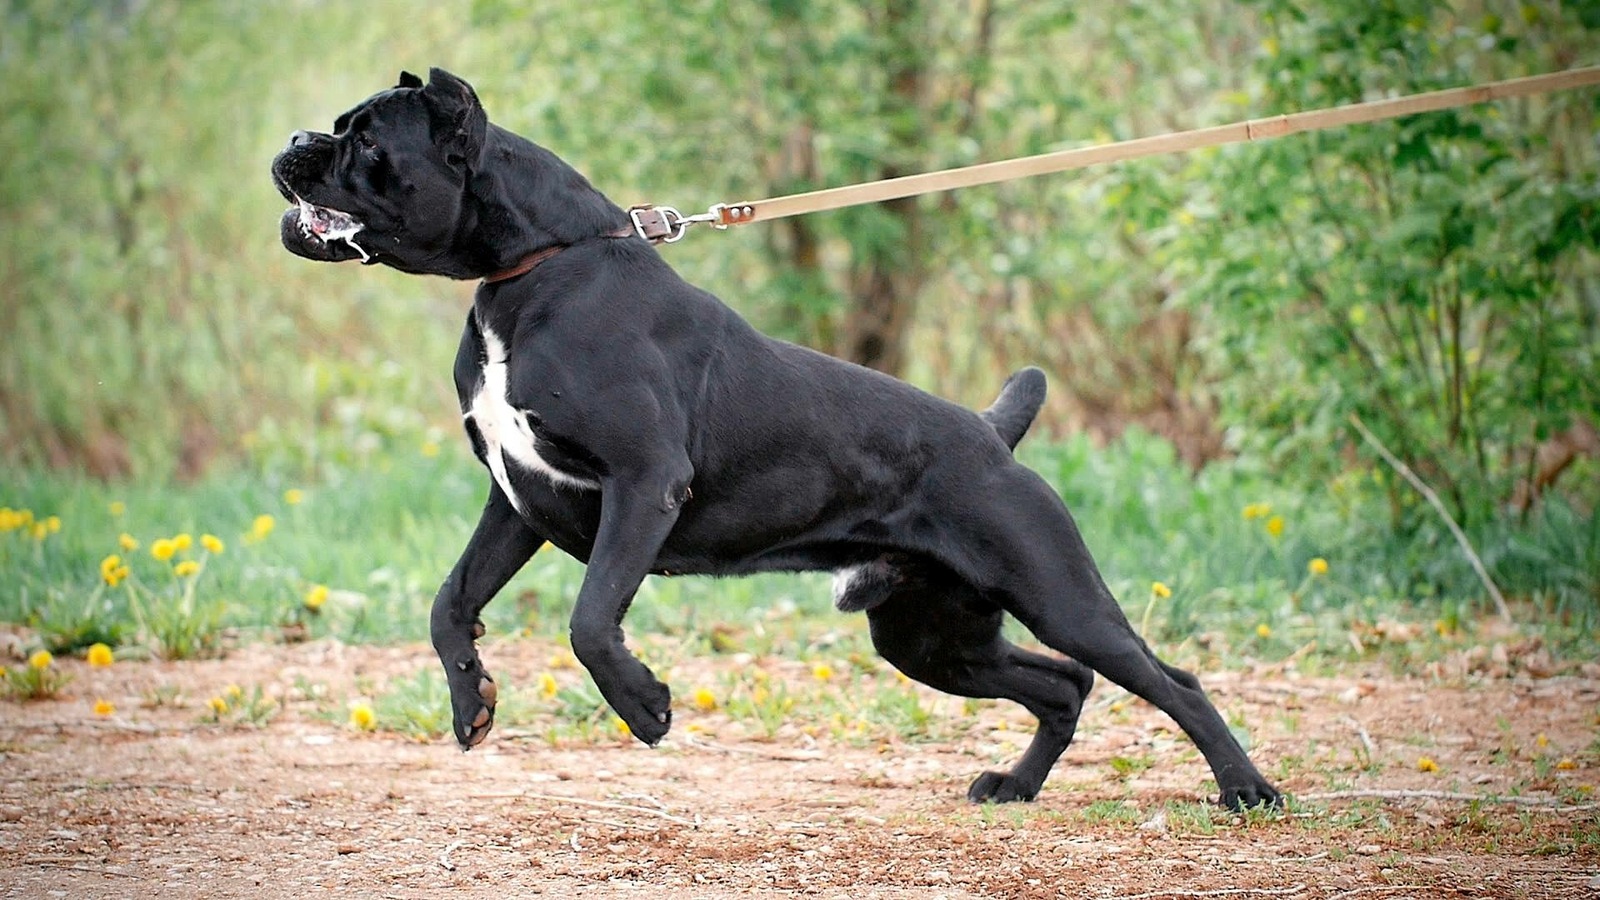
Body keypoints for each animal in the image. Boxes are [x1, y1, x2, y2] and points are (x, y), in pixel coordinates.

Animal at [272, 66, 1273, 800]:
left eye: (368, 139)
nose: (295, 141)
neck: (533, 267)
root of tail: (992, 435)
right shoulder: (516, 501)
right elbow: (449, 602)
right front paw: (471, 701)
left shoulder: (643, 482)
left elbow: (591, 619)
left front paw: (645, 708)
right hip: (931, 638)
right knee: (1063, 684)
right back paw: (1016, 786)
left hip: (1056, 594)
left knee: (1166, 681)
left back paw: (1248, 790)